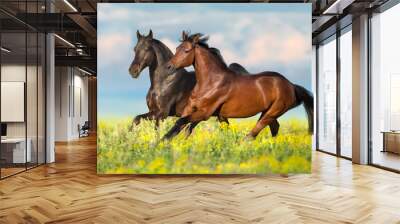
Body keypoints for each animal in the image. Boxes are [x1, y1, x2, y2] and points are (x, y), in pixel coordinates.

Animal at [164, 31, 314, 140]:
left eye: (186, 50)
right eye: (177, 48)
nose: (168, 67)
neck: (211, 82)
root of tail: (291, 86)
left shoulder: (205, 112)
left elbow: (180, 123)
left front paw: (164, 144)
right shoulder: (191, 109)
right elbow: (182, 127)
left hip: (272, 112)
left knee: (253, 134)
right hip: (268, 112)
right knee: (274, 127)